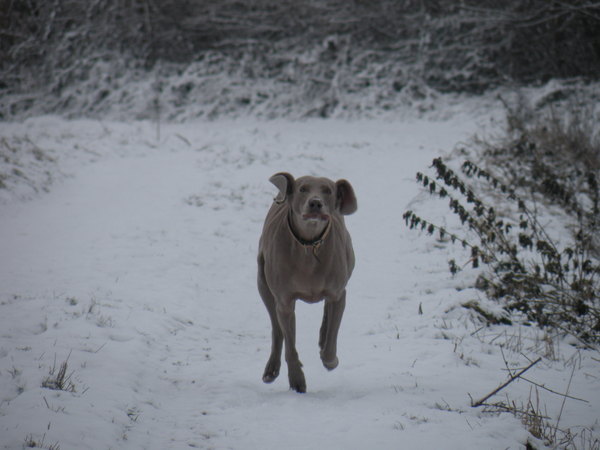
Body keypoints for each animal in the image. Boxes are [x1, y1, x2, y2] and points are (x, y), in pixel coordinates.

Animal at [256, 172, 356, 394]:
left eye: (328, 190)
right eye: (302, 189)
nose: (315, 203)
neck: (309, 246)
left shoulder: (338, 293)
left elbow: (331, 339)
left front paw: (330, 359)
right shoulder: (284, 301)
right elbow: (289, 344)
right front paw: (296, 379)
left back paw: (322, 337)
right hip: (262, 282)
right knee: (277, 329)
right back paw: (271, 369)